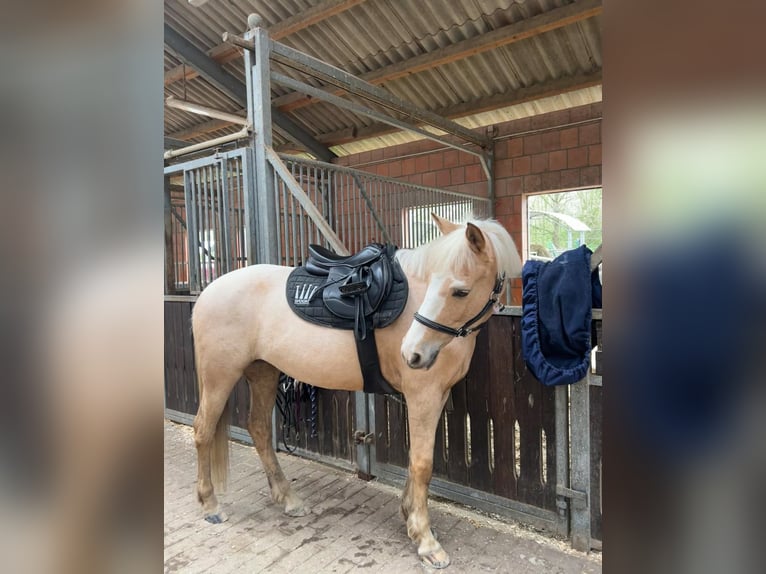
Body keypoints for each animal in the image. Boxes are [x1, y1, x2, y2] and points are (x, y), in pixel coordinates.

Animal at [191, 214, 522, 568]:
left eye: (460, 292)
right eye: (438, 284)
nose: (412, 353)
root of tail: (208, 292)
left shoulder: (435, 395)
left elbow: (415, 459)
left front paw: (409, 516)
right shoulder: (423, 396)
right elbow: (422, 463)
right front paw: (425, 539)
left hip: (263, 372)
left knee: (259, 430)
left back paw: (289, 499)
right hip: (220, 376)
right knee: (204, 430)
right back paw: (211, 506)